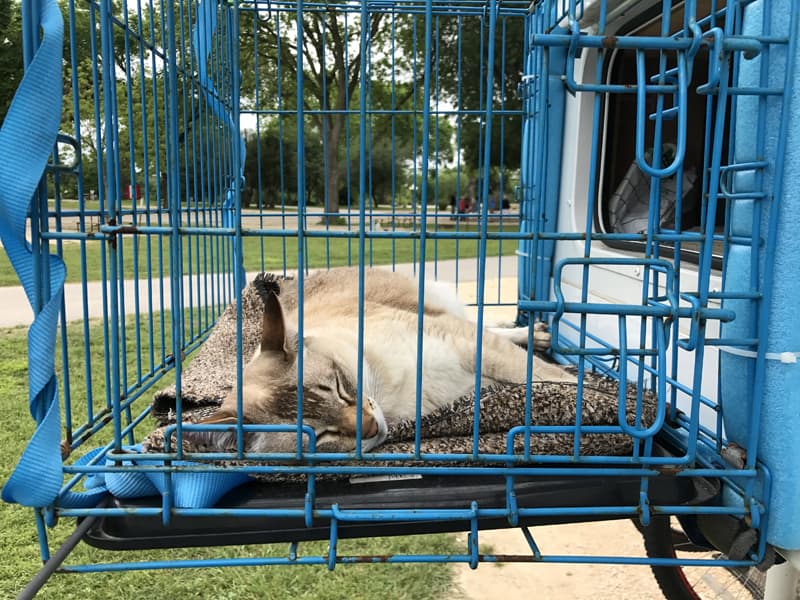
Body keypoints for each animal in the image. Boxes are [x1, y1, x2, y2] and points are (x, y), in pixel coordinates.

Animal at [191, 270, 564, 452]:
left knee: (486, 324)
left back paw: (536, 333)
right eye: (318, 436)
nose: (370, 426)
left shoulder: (465, 342)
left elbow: (552, 377)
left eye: (339, 386)